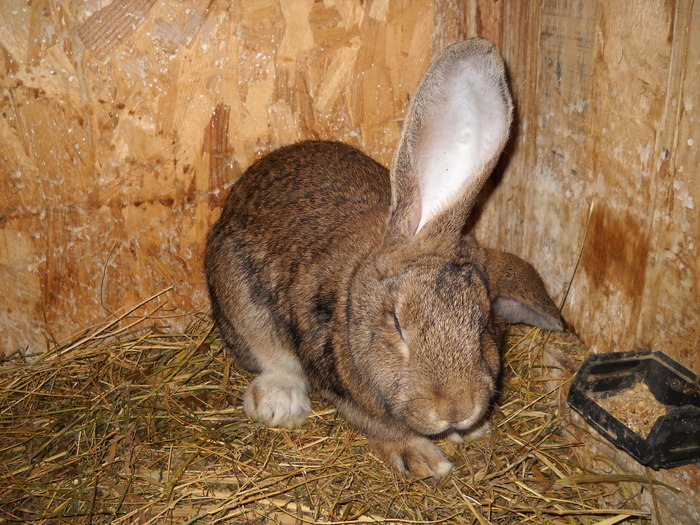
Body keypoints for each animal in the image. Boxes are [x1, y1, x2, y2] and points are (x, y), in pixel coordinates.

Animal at [205, 39, 568, 476]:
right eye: (396, 324)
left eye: (483, 324)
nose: (455, 408)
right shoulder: (334, 379)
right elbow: (375, 423)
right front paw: (423, 459)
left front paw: (470, 431)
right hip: (239, 298)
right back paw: (281, 403)